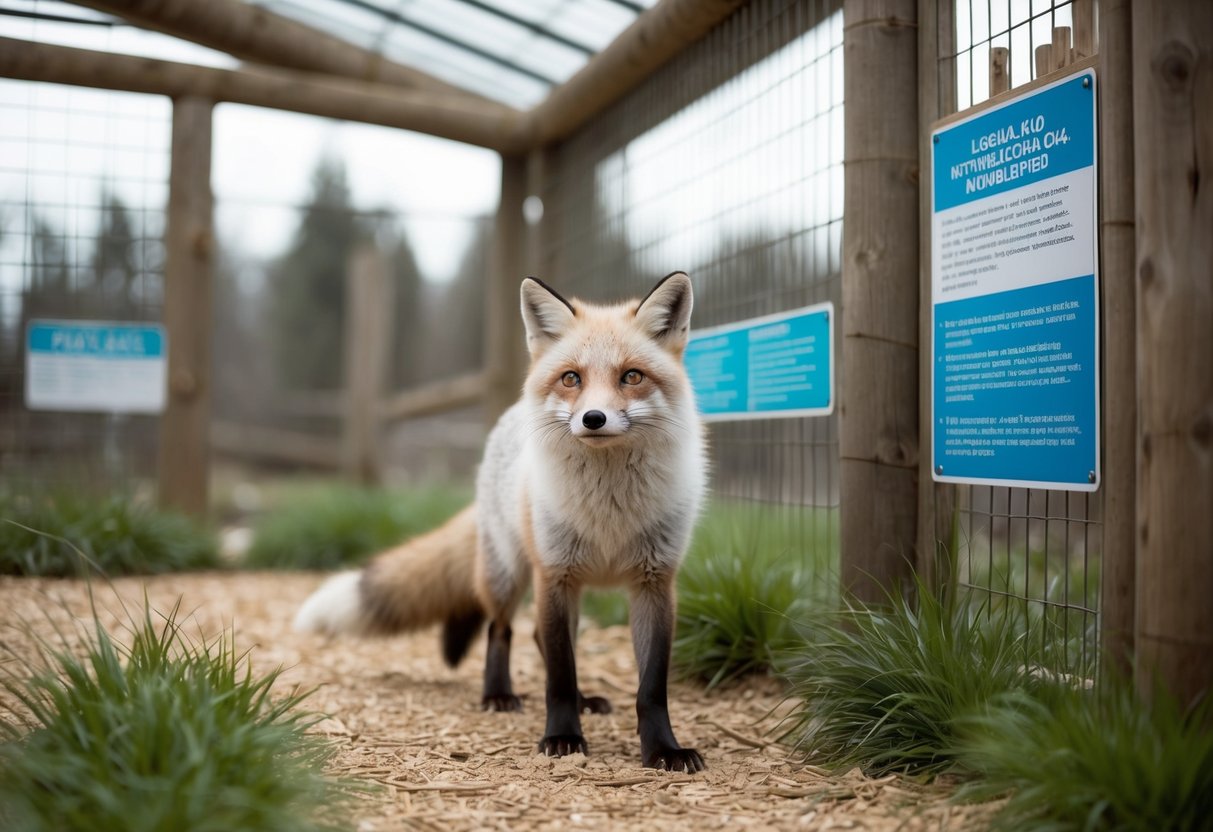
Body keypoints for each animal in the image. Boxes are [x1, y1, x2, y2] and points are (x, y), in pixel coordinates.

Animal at [294, 271, 707, 772]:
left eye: (631, 376)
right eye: (572, 378)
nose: (593, 418)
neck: (610, 510)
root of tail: (510, 414)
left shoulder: (655, 581)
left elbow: (650, 688)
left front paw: (663, 749)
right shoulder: (554, 574)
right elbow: (559, 677)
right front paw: (563, 737)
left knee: (538, 637)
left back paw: (585, 699)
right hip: (508, 574)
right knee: (503, 630)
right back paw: (498, 694)